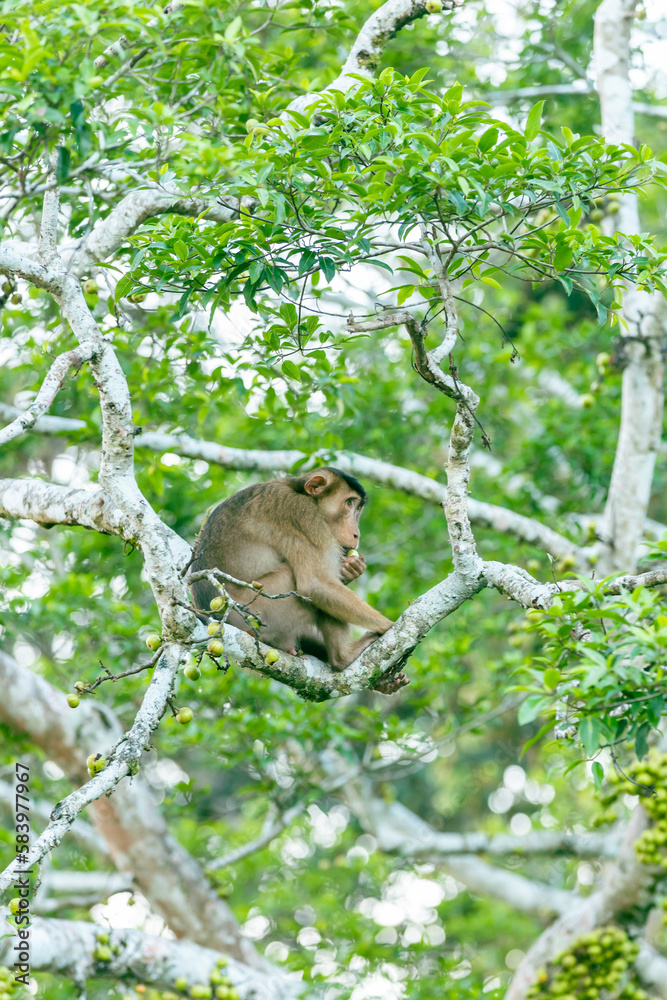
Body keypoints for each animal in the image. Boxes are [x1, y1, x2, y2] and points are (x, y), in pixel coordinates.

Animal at [190, 467, 394, 670]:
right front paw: (388, 625)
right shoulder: (302, 514)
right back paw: (343, 657)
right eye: (349, 502)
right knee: (297, 579)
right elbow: (316, 584)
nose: (356, 534)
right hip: (265, 614)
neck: (299, 491)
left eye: (358, 508)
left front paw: (352, 568)